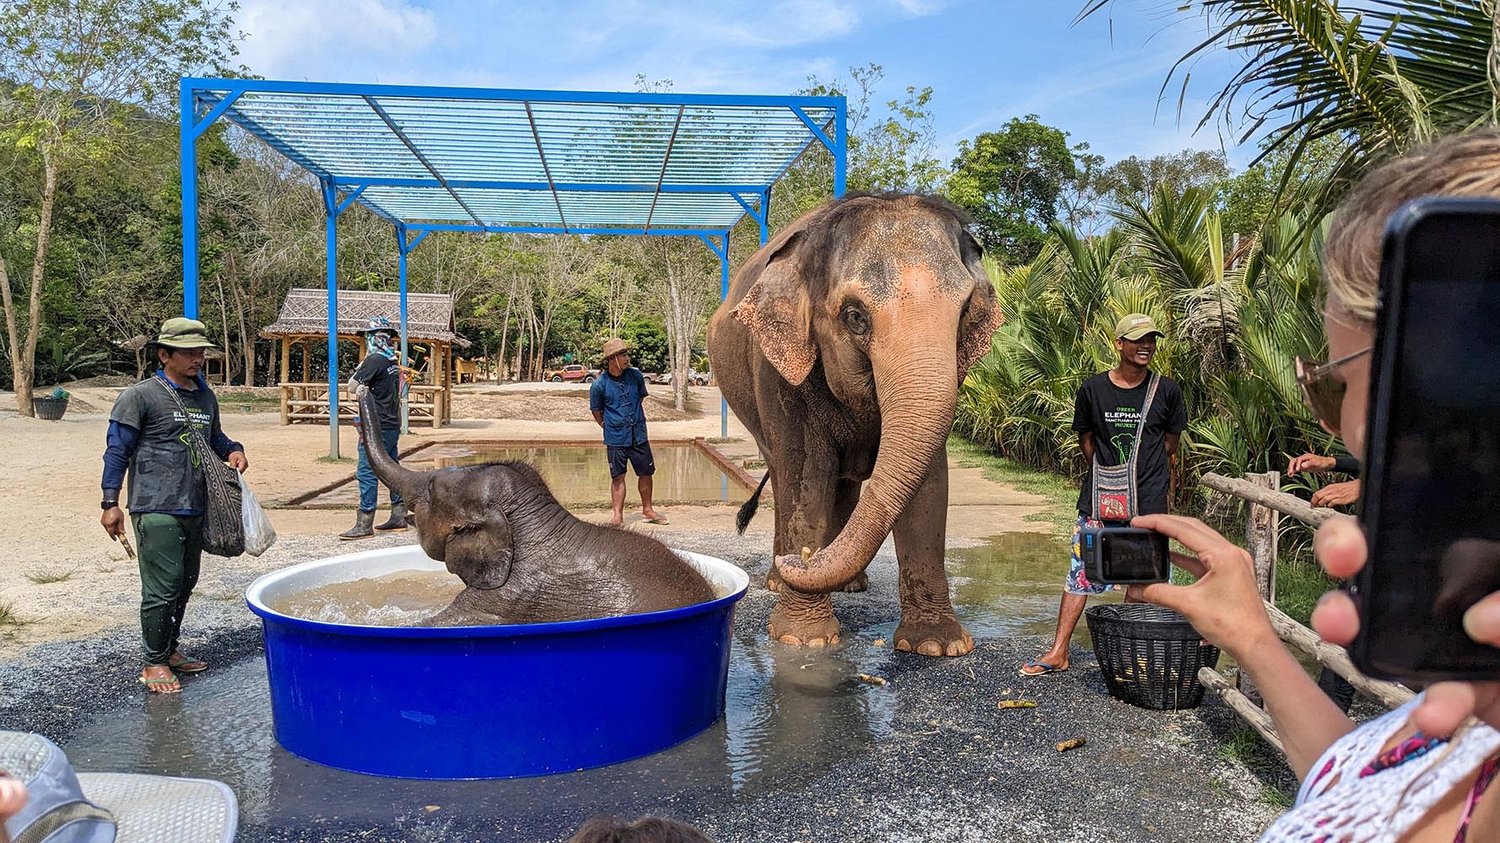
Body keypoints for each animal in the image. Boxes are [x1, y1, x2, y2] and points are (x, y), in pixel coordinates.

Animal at [706, 193, 1004, 656]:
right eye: (855, 316)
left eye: (962, 314)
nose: (798, 560)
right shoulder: (777, 372)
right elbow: (807, 474)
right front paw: (802, 638)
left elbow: (929, 486)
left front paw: (937, 647)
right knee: (783, 473)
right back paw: (779, 579)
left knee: (844, 483)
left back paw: (847, 583)